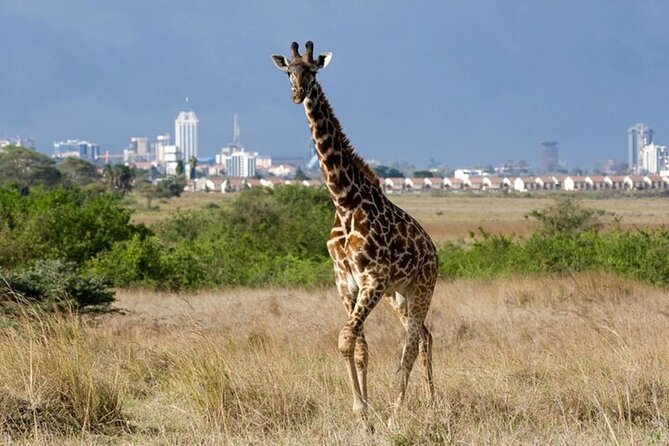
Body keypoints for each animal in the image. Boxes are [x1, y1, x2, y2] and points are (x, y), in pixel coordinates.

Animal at [271, 41, 438, 421]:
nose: (297, 94)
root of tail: (434, 251)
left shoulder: (372, 279)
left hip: (422, 286)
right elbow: (358, 344)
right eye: (289, 71)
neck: (344, 201)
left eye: (312, 71)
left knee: (411, 342)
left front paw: (365, 411)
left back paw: (397, 414)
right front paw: (364, 413)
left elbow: (346, 338)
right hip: (398, 294)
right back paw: (432, 403)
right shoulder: (345, 282)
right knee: (424, 336)